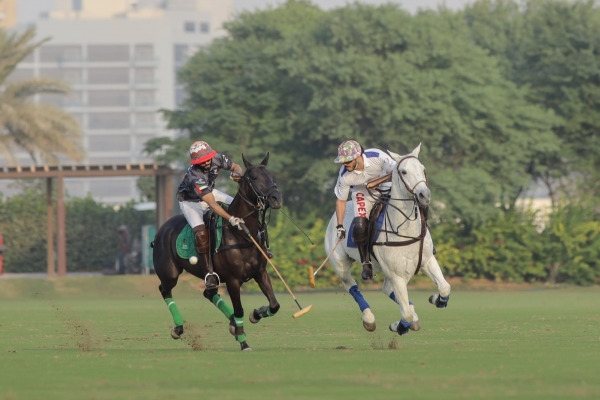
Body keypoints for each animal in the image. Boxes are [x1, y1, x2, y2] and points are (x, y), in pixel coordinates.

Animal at [155, 153, 286, 350]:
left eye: (270, 175)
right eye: (254, 178)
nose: (276, 198)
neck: (243, 234)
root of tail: (162, 228)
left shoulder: (260, 272)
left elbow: (274, 304)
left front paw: (255, 315)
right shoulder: (233, 280)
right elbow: (239, 309)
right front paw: (244, 342)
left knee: (209, 293)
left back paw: (232, 324)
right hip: (169, 272)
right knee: (165, 289)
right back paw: (178, 328)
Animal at [326, 144, 448, 334]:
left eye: (423, 169)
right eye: (404, 171)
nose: (424, 195)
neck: (406, 230)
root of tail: (334, 217)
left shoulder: (427, 260)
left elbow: (444, 288)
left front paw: (436, 299)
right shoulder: (397, 274)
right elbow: (405, 314)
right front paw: (399, 326)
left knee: (386, 289)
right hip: (340, 263)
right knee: (351, 285)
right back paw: (369, 319)